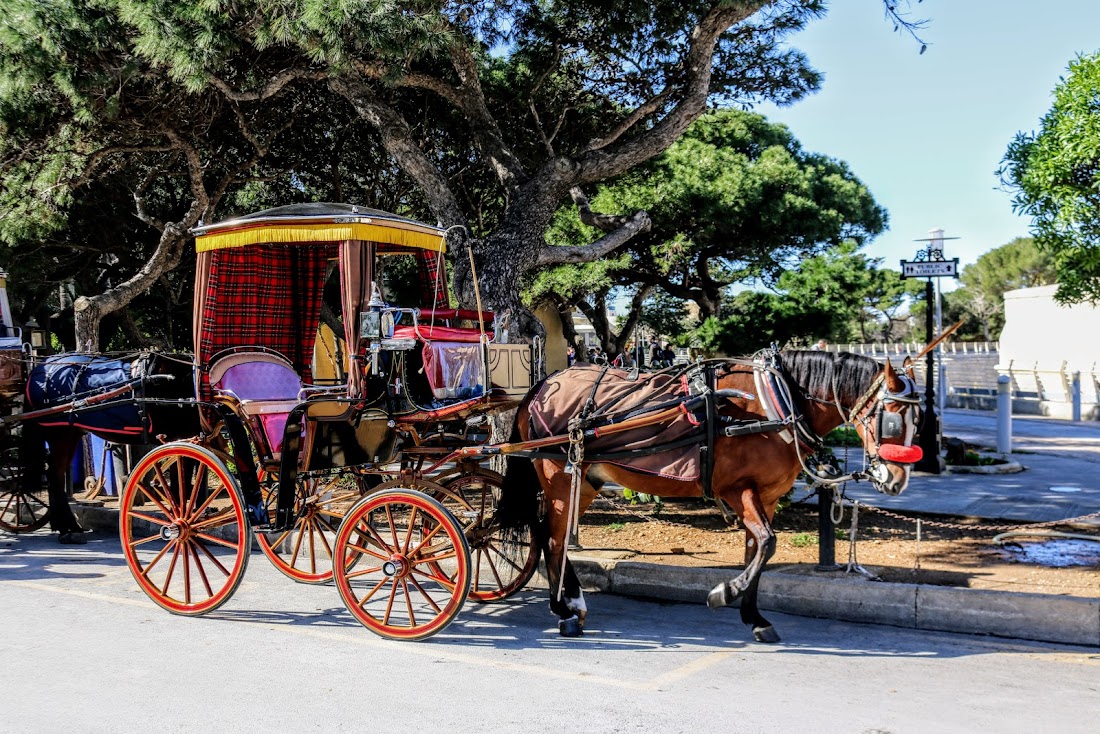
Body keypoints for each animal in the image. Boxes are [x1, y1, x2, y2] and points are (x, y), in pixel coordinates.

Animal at [20, 352, 199, 543]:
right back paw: (68, 527)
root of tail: (40, 367)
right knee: (55, 476)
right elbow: (181, 485)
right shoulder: (178, 439)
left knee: (55, 475)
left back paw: (64, 526)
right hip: (59, 434)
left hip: (71, 434)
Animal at [495, 349, 924, 642]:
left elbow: (757, 550)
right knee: (552, 538)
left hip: (585, 479)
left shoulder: (767, 496)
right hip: (558, 477)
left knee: (552, 535)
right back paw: (562, 608)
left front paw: (754, 617)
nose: (896, 480)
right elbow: (767, 542)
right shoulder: (738, 489)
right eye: (890, 418)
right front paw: (724, 592)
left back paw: (572, 603)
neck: (777, 401)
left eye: (918, 419)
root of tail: (543, 384)